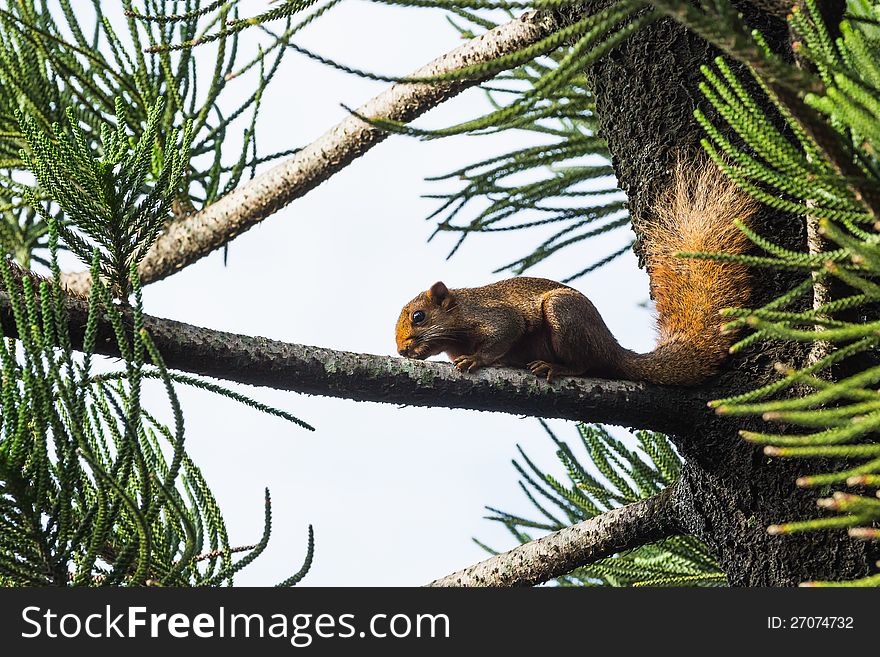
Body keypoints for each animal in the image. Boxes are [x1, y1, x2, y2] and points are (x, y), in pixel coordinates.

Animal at [396, 161, 760, 384]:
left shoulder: (494, 316)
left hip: (565, 315)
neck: (459, 317)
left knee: (584, 365)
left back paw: (555, 366)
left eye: (419, 316)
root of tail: (613, 349)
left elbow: (503, 334)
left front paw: (475, 360)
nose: (401, 350)